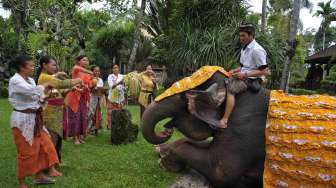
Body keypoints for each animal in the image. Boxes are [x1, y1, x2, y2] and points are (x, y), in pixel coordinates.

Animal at [140, 71, 270, 188]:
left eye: (183, 97)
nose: (166, 131)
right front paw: (161, 149)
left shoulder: (245, 128)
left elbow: (220, 172)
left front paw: (165, 163)